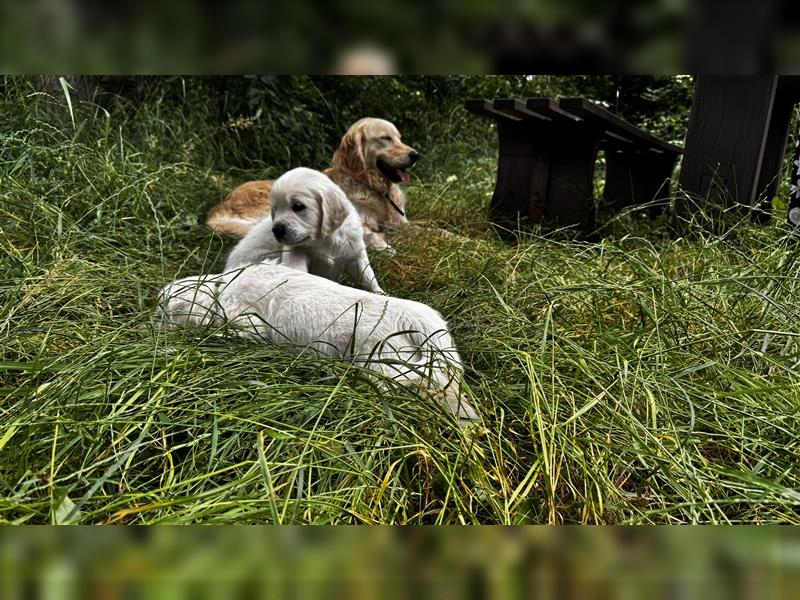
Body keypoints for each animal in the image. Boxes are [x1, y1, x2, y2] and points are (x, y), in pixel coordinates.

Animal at [159, 262, 478, 422]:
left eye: (164, 315)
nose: (157, 330)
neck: (220, 286)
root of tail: (420, 318)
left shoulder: (251, 324)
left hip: (386, 366)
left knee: (430, 388)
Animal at [205, 117, 418, 251]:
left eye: (399, 138)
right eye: (385, 138)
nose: (415, 155)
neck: (374, 188)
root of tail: (223, 203)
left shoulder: (401, 222)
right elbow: (372, 234)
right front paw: (384, 246)